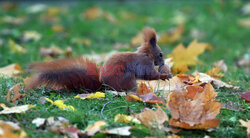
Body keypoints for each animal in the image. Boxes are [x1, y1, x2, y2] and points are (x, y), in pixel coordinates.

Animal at [24, 26, 172, 91]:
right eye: (160, 54)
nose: (163, 62)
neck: (146, 54)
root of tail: (104, 86)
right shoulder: (144, 64)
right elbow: (149, 75)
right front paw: (165, 76)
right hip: (127, 79)